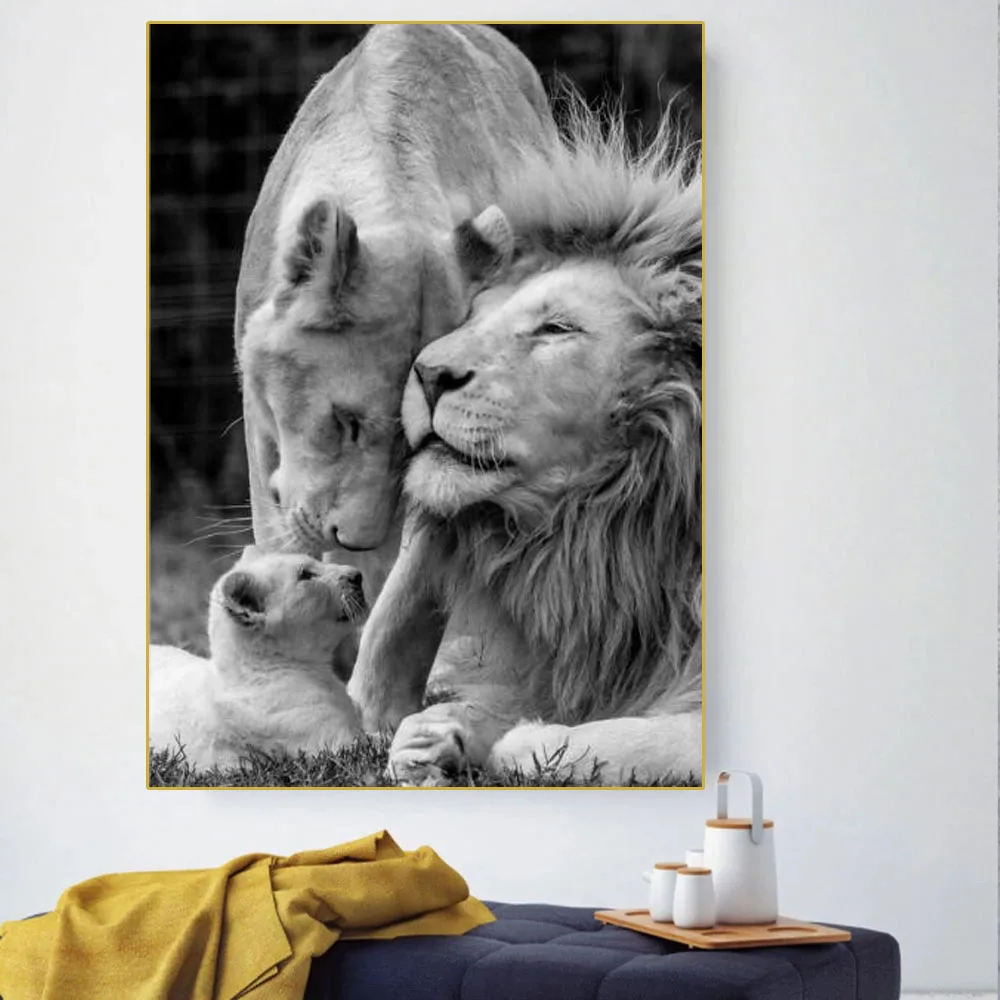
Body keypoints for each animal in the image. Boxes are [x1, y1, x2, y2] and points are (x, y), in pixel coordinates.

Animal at [347, 100, 703, 786]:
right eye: (473, 316)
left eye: (556, 328)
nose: (428, 373)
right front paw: (437, 736)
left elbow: (619, 740)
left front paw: (516, 741)